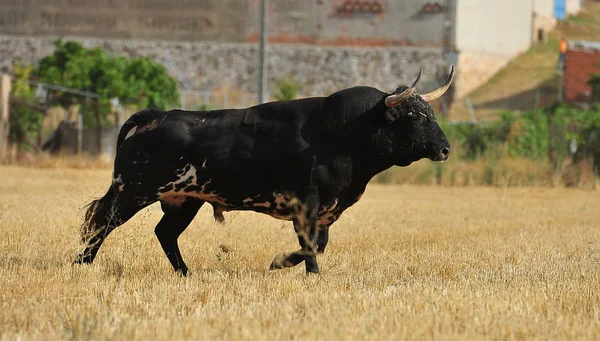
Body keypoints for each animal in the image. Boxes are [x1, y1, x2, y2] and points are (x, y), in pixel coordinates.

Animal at [72, 65, 452, 274]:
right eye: (413, 116)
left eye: (430, 114)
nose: (445, 149)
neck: (342, 134)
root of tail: (156, 115)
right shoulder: (306, 204)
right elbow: (310, 245)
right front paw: (300, 271)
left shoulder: (327, 210)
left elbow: (318, 244)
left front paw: (283, 264)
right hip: (133, 191)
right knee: (100, 220)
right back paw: (81, 263)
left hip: (184, 200)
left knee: (164, 233)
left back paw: (186, 274)